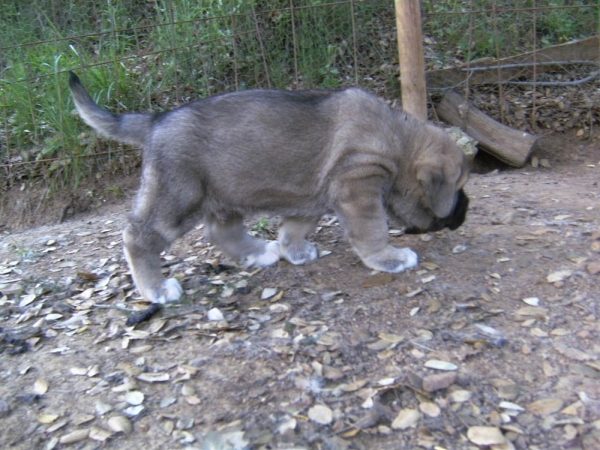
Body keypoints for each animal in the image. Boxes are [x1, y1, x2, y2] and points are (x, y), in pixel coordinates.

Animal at [67, 72, 468, 304]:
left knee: (222, 231)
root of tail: (155, 120)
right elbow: (372, 231)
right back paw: (156, 290)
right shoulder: (359, 187)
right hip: (178, 195)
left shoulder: (317, 196)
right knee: (138, 236)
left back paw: (259, 253)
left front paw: (295, 251)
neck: (400, 141)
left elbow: (296, 226)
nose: (464, 212)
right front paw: (389, 257)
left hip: (224, 193)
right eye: (459, 187)